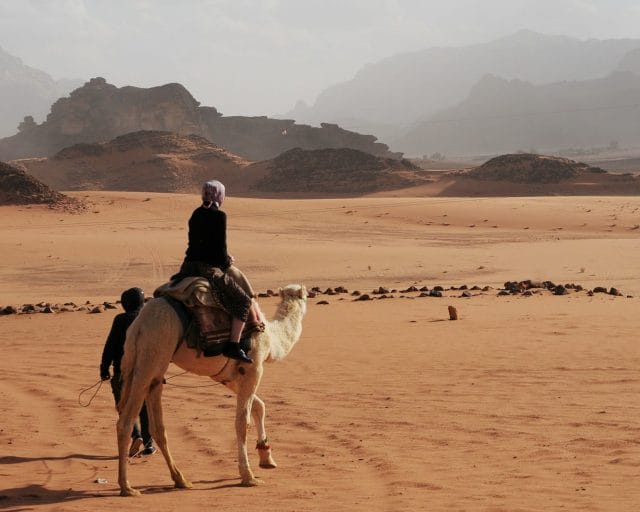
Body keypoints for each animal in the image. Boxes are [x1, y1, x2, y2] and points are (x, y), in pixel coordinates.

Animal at [115, 284, 308, 497]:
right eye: (304, 296)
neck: (272, 339)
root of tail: (138, 325)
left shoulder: (227, 376)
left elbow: (259, 406)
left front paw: (266, 457)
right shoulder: (253, 368)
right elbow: (242, 423)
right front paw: (248, 476)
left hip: (149, 362)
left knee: (157, 425)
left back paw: (180, 479)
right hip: (153, 350)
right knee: (125, 422)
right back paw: (127, 487)